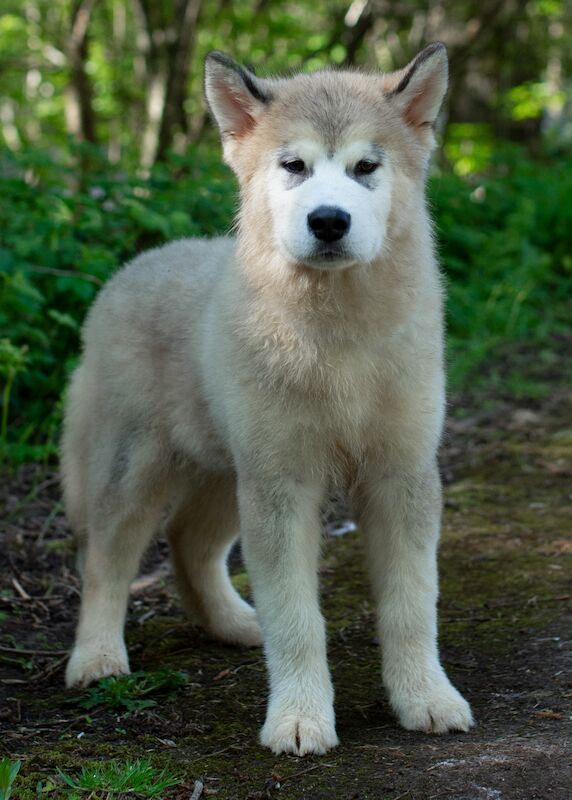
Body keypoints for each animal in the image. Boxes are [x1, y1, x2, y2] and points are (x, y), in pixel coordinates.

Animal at [62, 45, 474, 756]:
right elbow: (297, 619)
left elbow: (411, 606)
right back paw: (96, 658)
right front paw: (300, 718)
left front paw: (426, 698)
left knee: (190, 545)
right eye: (294, 166)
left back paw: (233, 624)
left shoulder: (400, 476)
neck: (338, 339)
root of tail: (131, 269)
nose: (328, 220)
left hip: (229, 475)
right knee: (106, 560)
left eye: (366, 167)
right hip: (137, 468)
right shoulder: (283, 485)